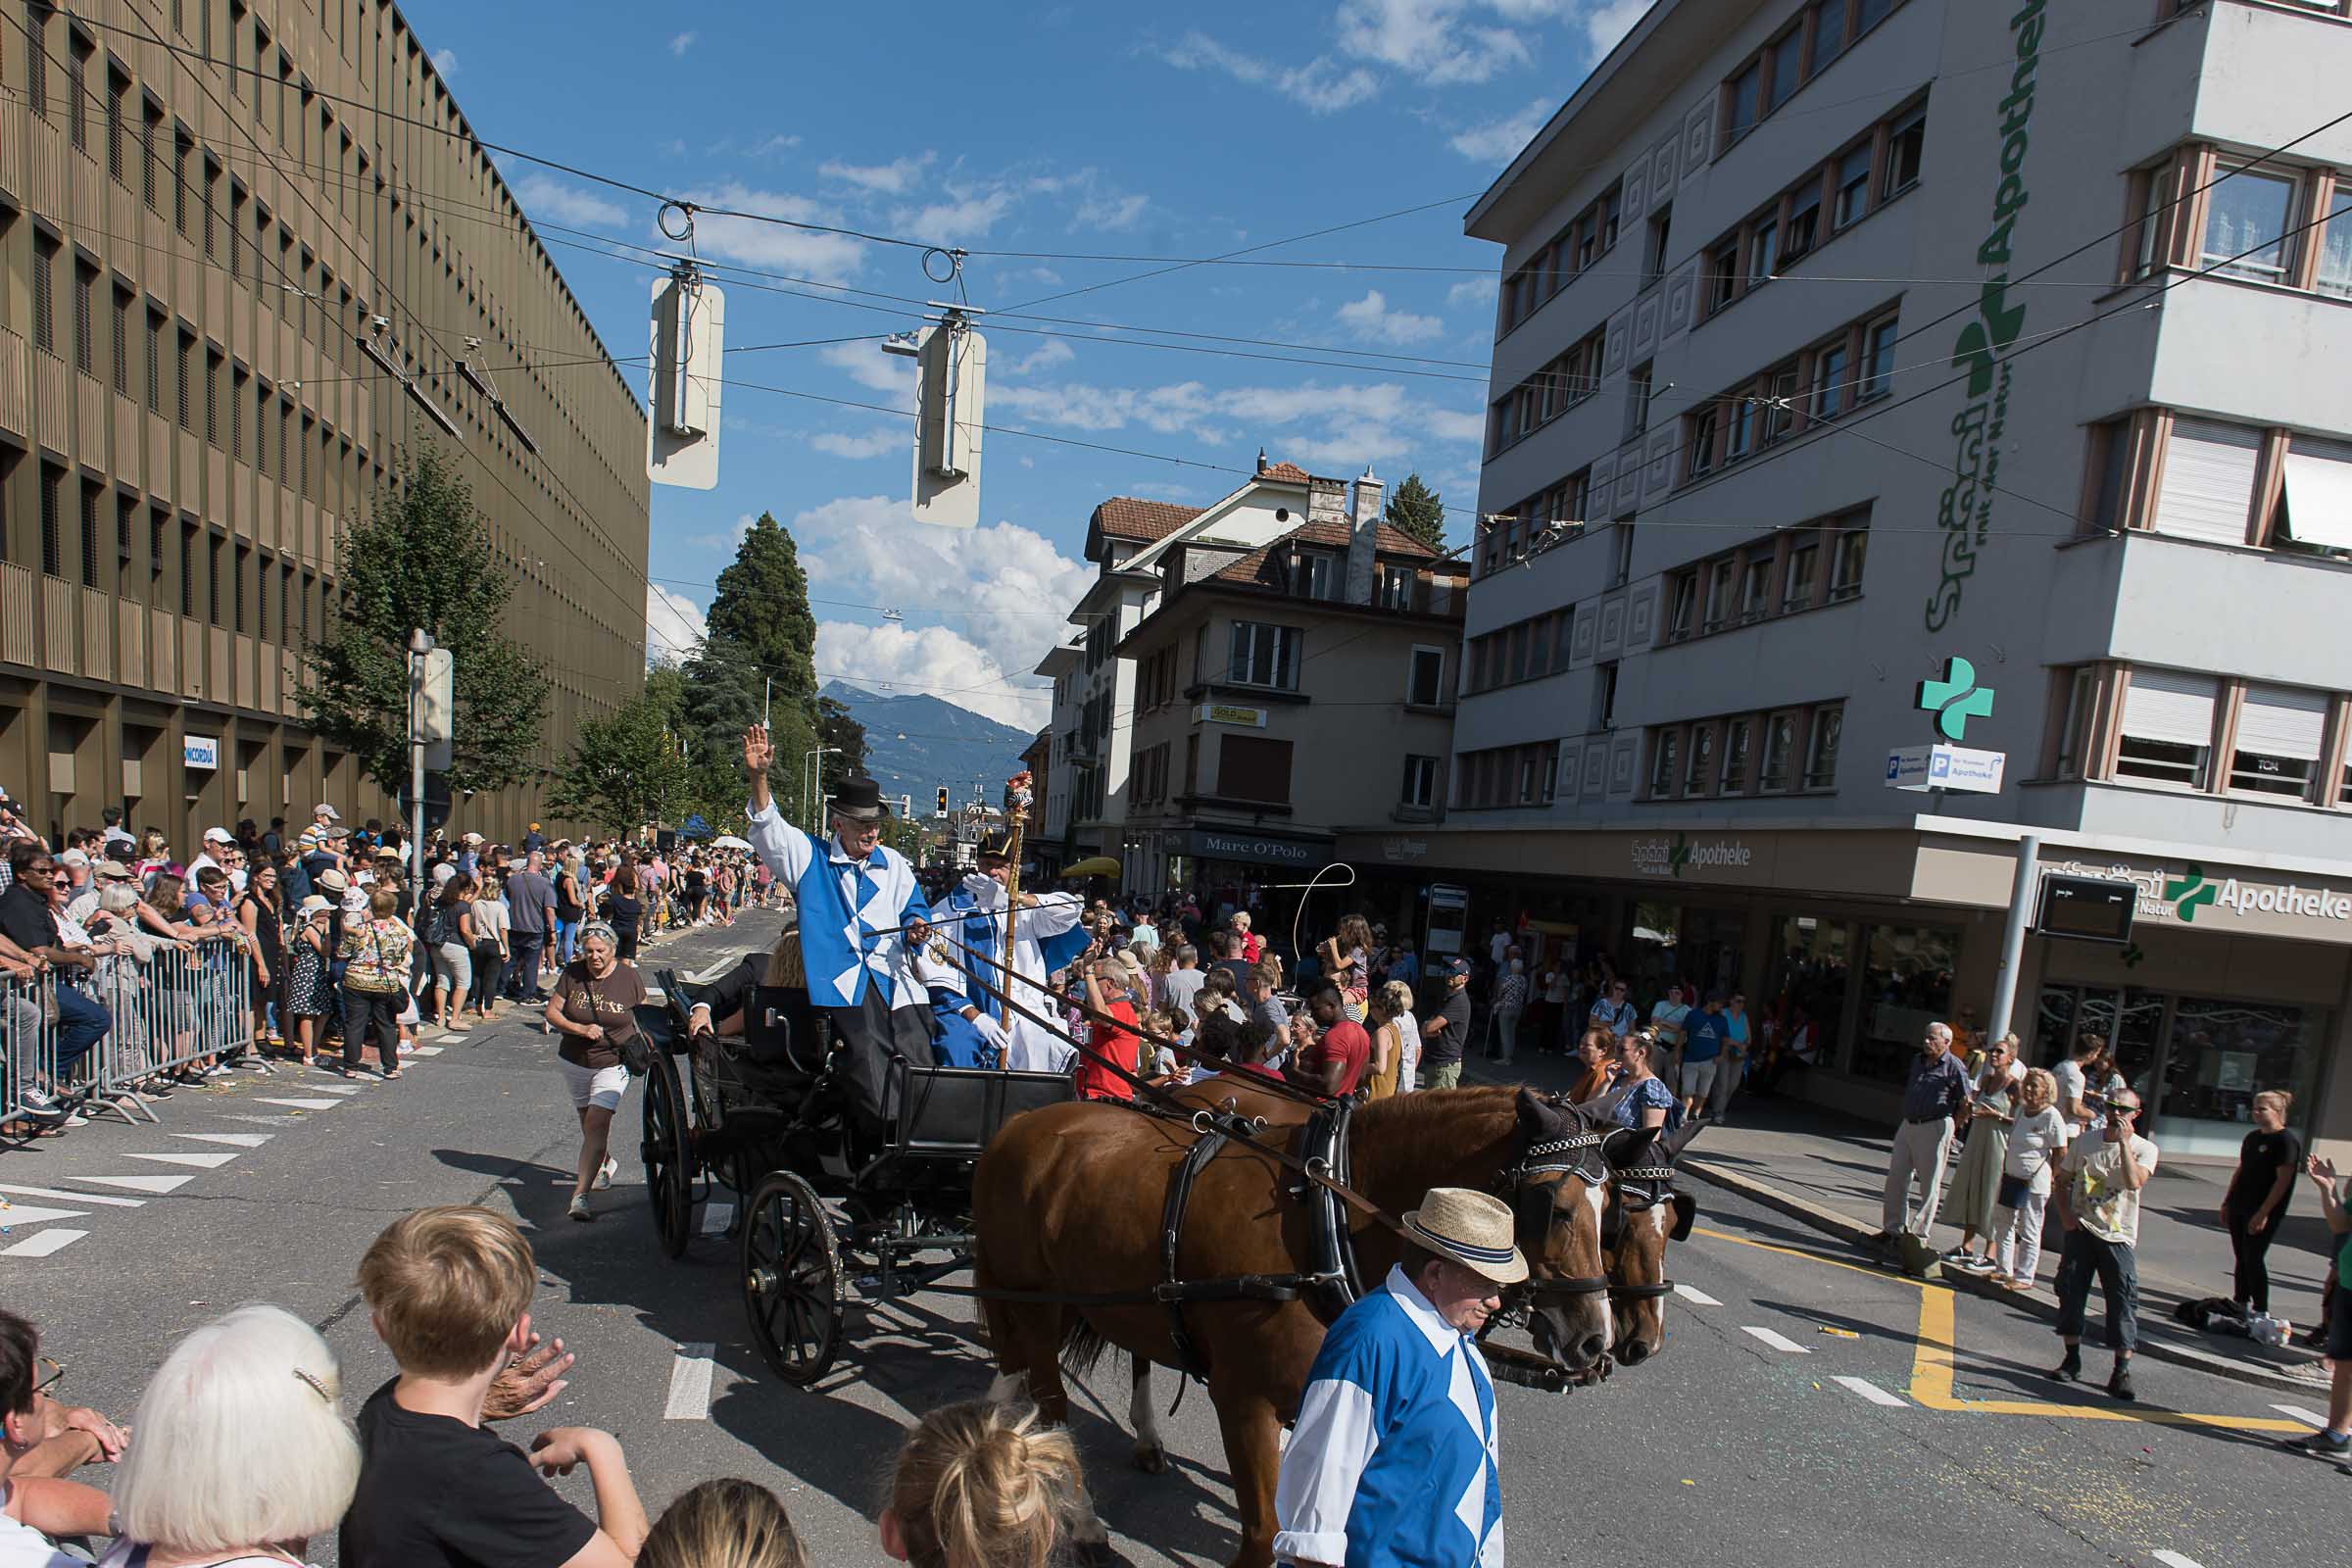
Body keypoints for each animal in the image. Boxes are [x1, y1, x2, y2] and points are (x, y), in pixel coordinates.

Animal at [973, 1086, 1618, 1568]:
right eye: (1555, 1208)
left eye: (1610, 1208)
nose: (1595, 1337)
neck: (1324, 1217)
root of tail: (1018, 1126)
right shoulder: (1243, 1400)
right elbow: (1263, 1534)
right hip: (1036, 1303)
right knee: (1049, 1399)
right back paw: (1082, 1520)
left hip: (1091, 1299)